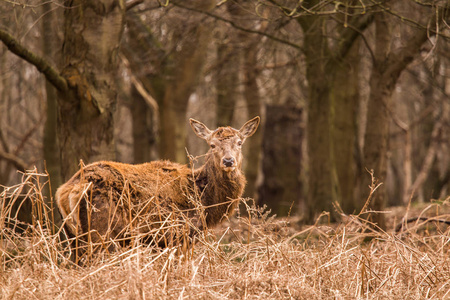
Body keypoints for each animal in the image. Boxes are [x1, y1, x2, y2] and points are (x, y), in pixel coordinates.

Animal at [55, 116, 260, 253]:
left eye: (239, 142)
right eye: (212, 145)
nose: (228, 161)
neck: (202, 200)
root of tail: (67, 190)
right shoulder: (175, 233)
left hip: (72, 234)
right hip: (100, 230)